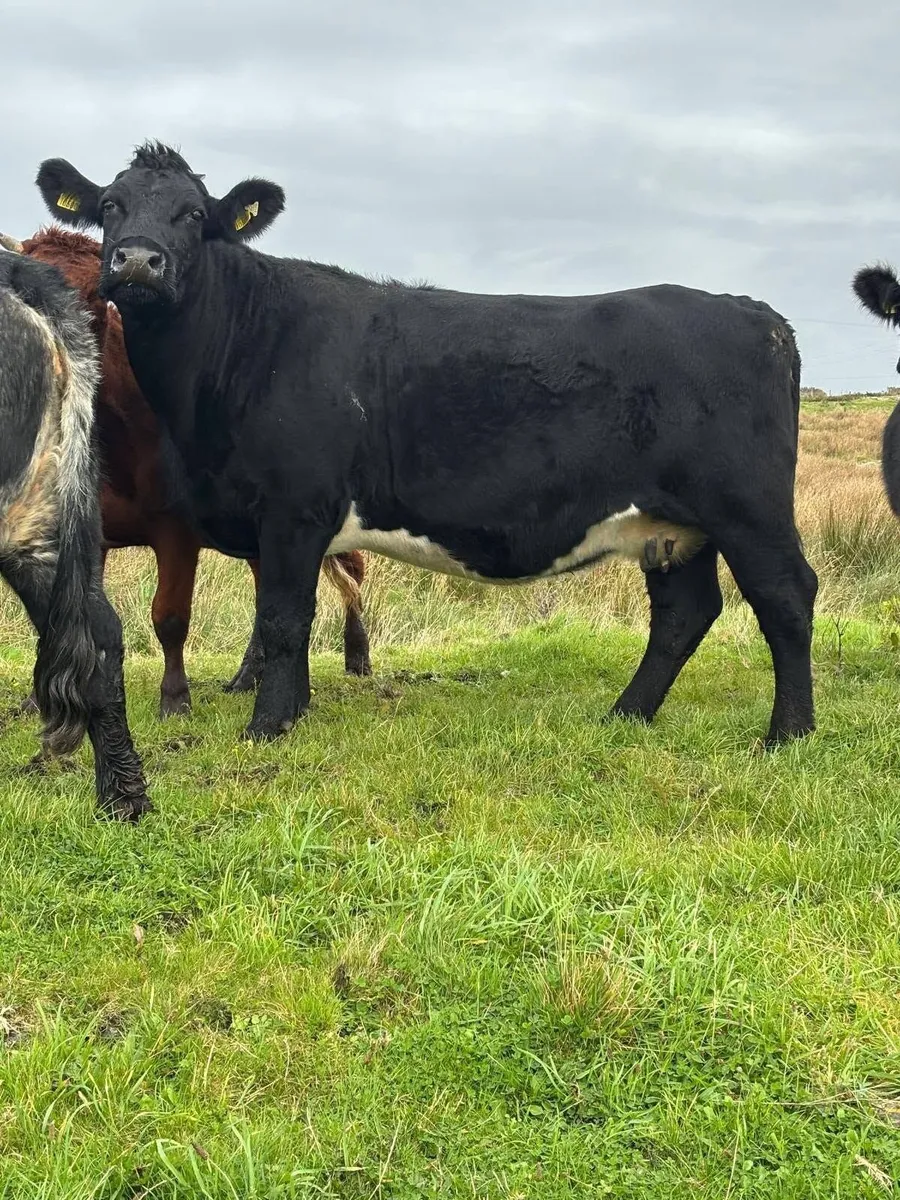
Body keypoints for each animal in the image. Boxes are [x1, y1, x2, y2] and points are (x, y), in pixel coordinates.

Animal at [0, 227, 371, 719]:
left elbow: (170, 617)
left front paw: (175, 698)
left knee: (350, 573)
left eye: (97, 297)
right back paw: (249, 676)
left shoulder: (176, 530)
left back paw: (356, 655)